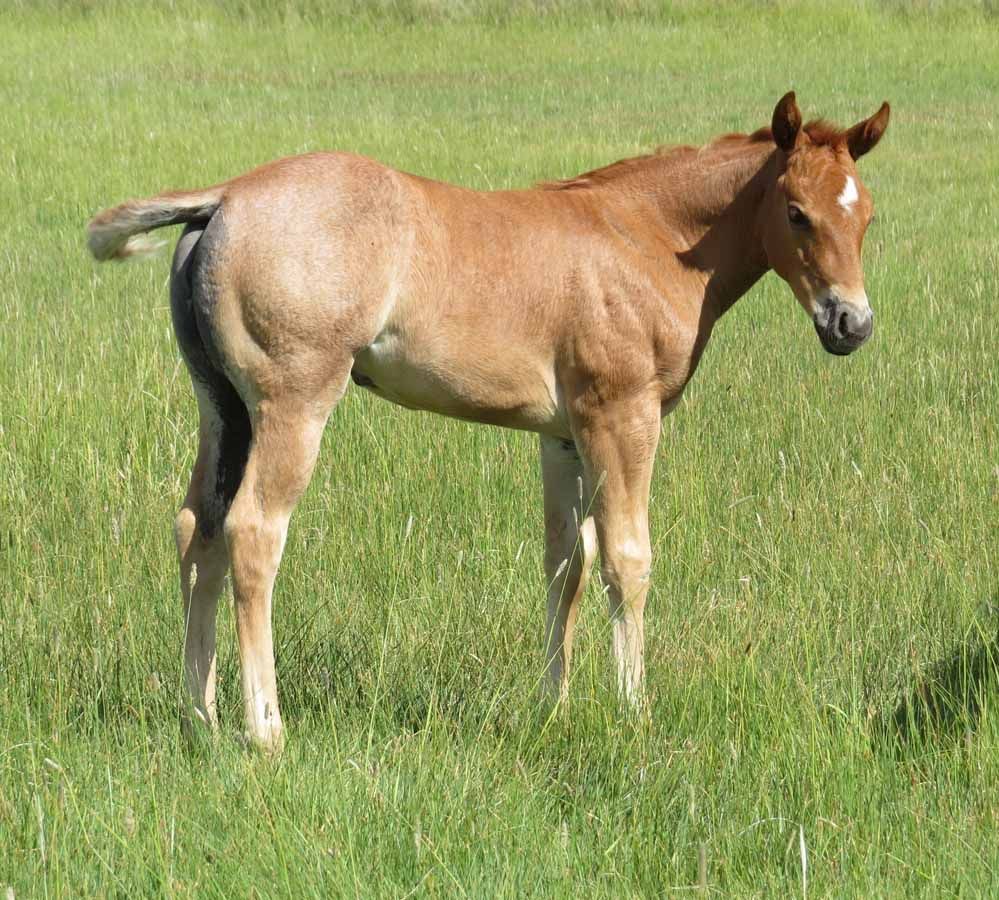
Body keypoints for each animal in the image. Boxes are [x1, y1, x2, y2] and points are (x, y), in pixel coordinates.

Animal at [87, 92, 889, 753]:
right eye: (796, 211)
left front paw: (552, 709)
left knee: (198, 529)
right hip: (294, 403)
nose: (850, 325)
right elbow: (626, 561)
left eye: (866, 216)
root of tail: (225, 198)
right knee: (253, 531)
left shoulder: (562, 435)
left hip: (222, 407)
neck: (645, 237)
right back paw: (264, 730)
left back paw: (200, 716)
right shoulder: (621, 418)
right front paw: (634, 714)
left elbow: (567, 563)